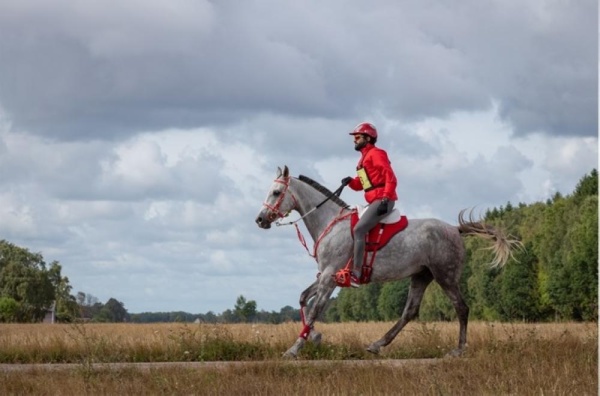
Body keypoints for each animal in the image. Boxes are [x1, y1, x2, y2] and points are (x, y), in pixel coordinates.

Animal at [254, 166, 520, 358]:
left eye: (276, 192)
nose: (260, 219)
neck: (330, 222)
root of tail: (454, 230)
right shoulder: (325, 276)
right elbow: (302, 299)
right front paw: (315, 338)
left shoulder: (330, 277)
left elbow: (313, 311)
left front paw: (294, 349)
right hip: (421, 275)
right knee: (410, 312)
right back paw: (377, 344)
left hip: (446, 276)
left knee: (461, 308)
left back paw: (458, 350)